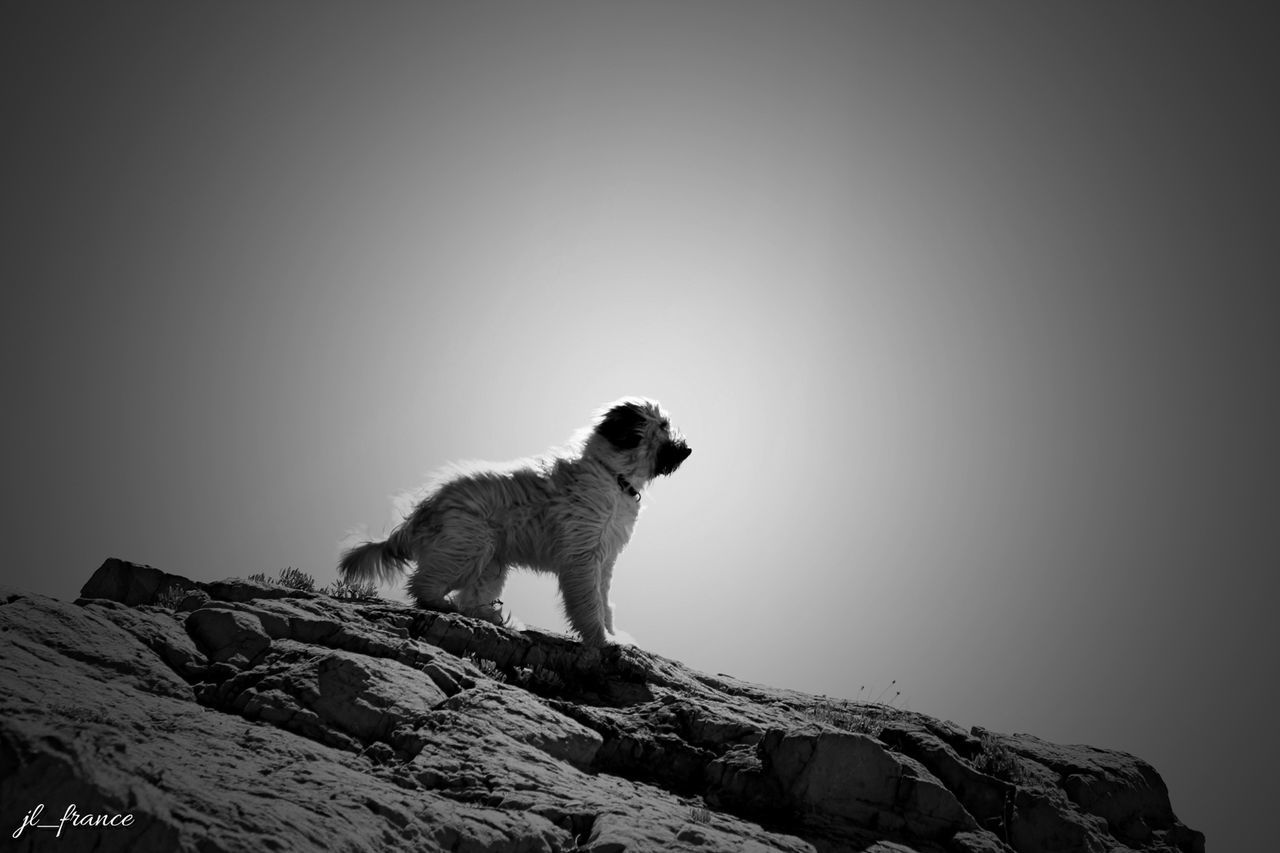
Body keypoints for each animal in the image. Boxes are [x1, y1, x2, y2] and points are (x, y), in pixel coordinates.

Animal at [335, 399, 686, 645]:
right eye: (663, 425)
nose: (689, 450)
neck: (612, 474)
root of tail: (422, 510)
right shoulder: (583, 556)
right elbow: (589, 603)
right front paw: (601, 640)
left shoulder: (605, 559)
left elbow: (604, 601)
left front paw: (613, 635)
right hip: (468, 544)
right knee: (424, 584)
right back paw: (446, 605)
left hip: (490, 559)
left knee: (471, 596)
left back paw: (494, 617)